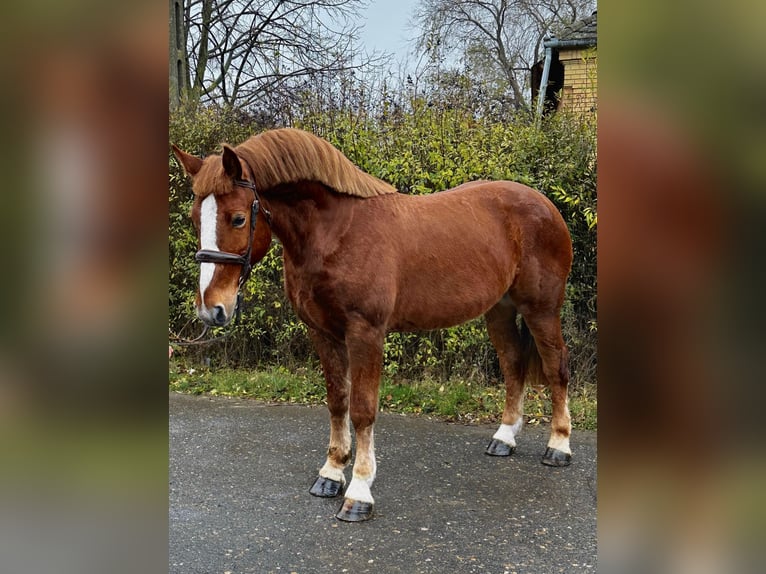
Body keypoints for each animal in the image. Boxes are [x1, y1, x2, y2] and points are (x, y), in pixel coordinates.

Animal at [172, 128, 574, 522]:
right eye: (195, 218)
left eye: (238, 218)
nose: (211, 308)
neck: (336, 233)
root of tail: (544, 204)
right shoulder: (323, 333)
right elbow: (337, 401)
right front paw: (332, 473)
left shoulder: (366, 333)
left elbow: (362, 410)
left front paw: (359, 492)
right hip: (500, 310)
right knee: (513, 365)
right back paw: (504, 438)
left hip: (541, 310)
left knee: (556, 367)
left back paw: (559, 445)